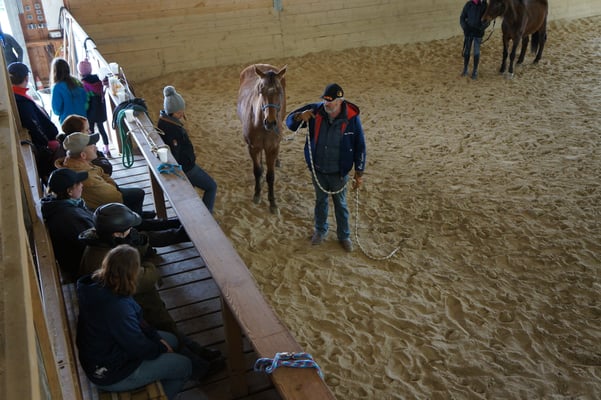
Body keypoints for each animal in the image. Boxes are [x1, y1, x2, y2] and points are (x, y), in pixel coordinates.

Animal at [237, 64, 287, 214]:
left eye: (279, 91)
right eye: (261, 90)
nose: (270, 122)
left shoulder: (272, 148)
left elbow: (271, 176)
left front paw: (273, 203)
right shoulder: (253, 148)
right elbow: (257, 171)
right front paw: (257, 194)